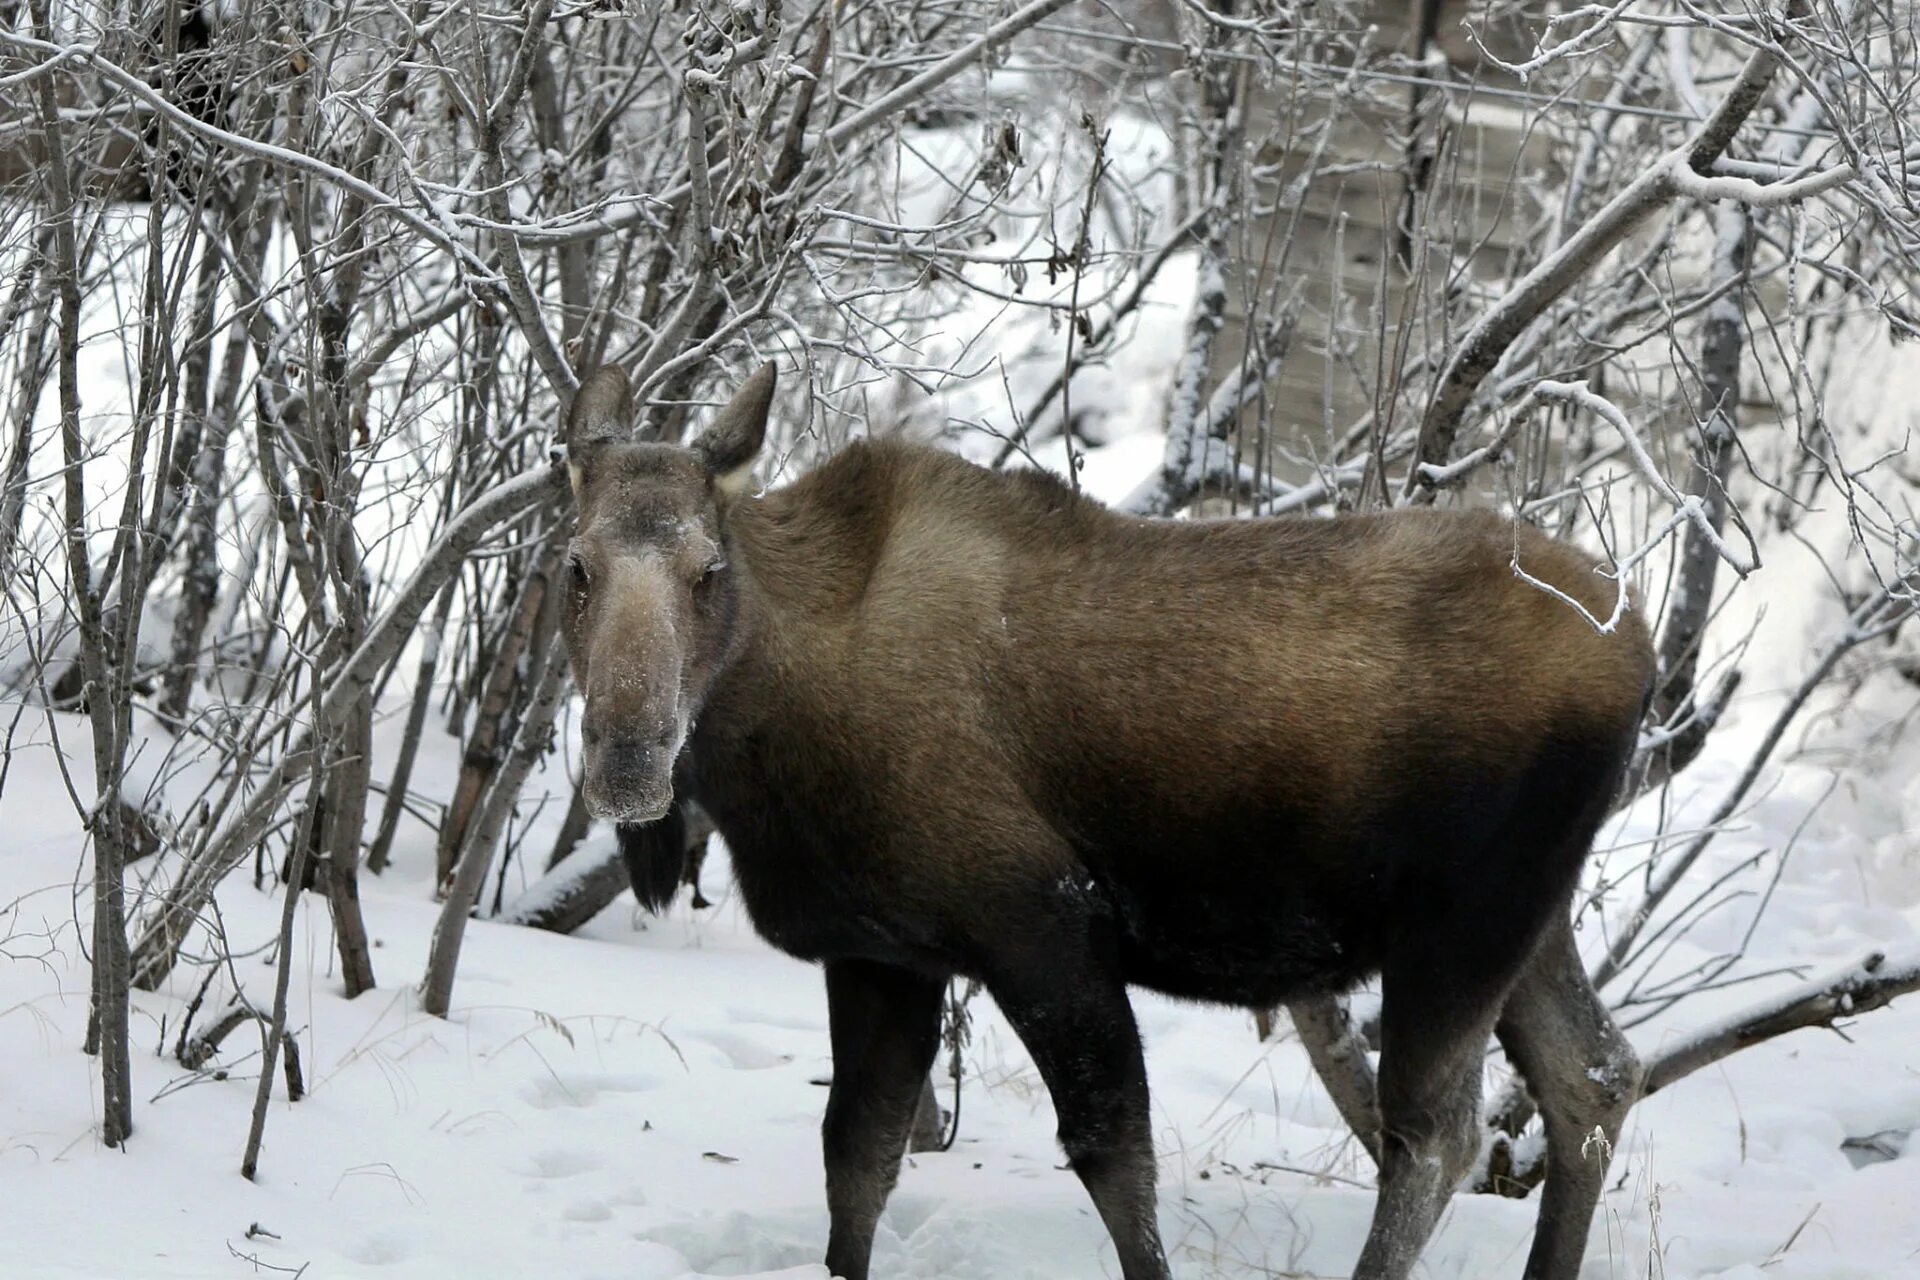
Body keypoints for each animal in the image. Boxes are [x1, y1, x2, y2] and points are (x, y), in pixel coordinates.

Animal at [556, 360, 1651, 1280]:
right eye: (576, 566)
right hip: (1530, 919)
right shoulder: (883, 953)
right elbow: (857, 1158)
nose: (627, 760)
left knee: (1438, 1138)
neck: (773, 734)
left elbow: (1113, 1157)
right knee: (1594, 1075)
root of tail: (1638, 647)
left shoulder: (1043, 922)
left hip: (1462, 927)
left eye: (707, 571)